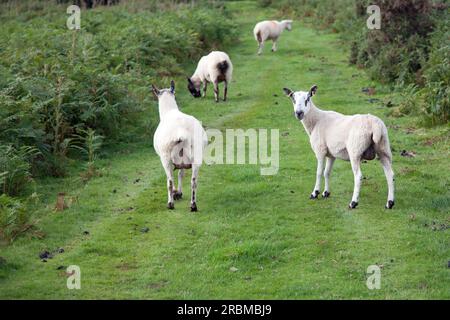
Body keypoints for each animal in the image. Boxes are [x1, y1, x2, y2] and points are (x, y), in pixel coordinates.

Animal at [151, 79, 207, 211]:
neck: (169, 110)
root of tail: (181, 132)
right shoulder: (183, 161)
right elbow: (181, 173)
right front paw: (179, 193)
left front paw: (177, 193)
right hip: (196, 153)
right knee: (193, 181)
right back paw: (193, 205)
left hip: (165, 156)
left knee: (169, 181)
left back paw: (170, 203)